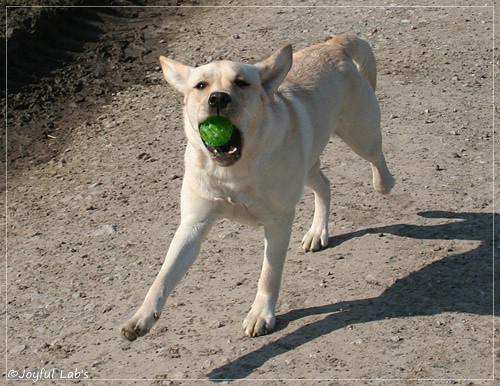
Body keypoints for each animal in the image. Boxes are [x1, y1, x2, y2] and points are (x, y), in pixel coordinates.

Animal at [120, 34, 394, 340]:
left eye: (241, 83)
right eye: (200, 86)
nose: (218, 98)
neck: (233, 172)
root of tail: (333, 44)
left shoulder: (278, 223)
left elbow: (268, 275)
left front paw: (261, 315)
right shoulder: (192, 225)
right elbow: (163, 276)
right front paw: (141, 317)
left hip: (360, 135)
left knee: (377, 159)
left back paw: (384, 184)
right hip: (308, 166)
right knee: (325, 186)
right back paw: (317, 232)